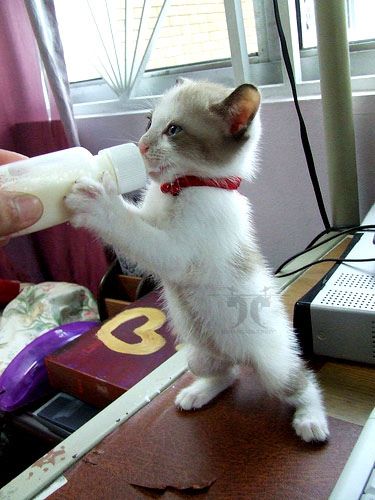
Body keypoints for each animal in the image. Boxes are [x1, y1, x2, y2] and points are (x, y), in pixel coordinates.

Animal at [64, 80, 328, 444]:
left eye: (174, 130)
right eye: (149, 122)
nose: (142, 146)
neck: (182, 187)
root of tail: (240, 355)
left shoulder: (177, 253)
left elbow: (133, 231)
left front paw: (97, 202)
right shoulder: (151, 216)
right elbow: (135, 223)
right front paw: (102, 180)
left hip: (273, 364)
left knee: (300, 382)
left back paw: (311, 419)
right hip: (198, 356)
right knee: (228, 373)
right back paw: (199, 393)